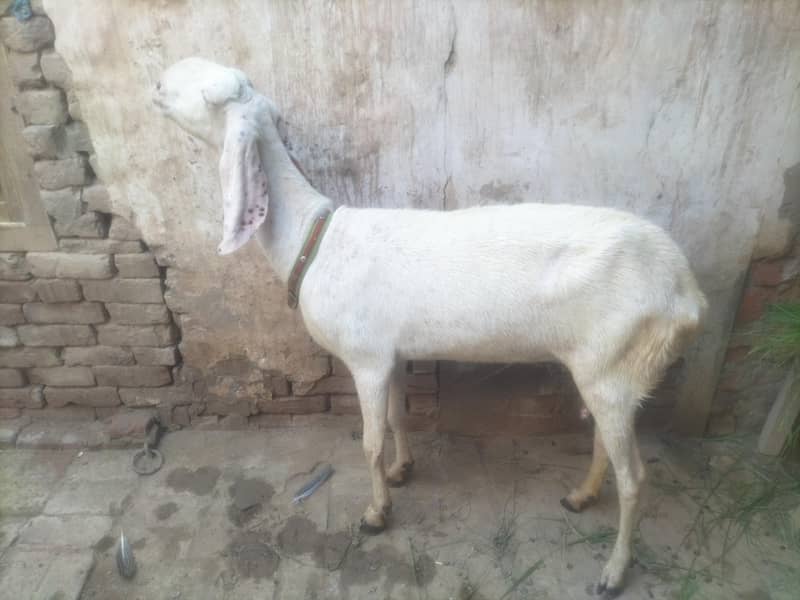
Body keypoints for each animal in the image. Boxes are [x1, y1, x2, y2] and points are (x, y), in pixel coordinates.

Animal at [154, 57, 707, 595]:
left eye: (209, 90)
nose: (157, 83)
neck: (314, 240)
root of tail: (687, 294)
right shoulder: (391, 353)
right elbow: (399, 418)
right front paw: (403, 470)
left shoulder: (366, 358)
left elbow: (370, 440)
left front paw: (376, 514)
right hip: (605, 367)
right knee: (606, 442)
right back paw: (581, 496)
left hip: (619, 359)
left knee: (634, 477)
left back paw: (614, 571)